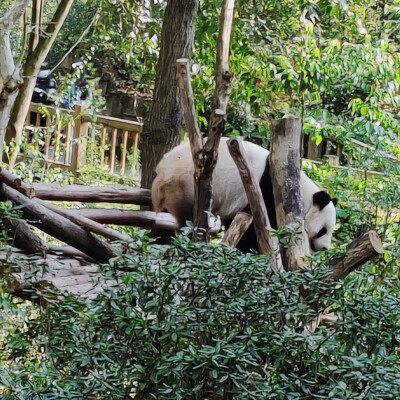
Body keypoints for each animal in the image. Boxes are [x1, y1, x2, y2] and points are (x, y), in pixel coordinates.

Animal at [152, 137, 336, 250]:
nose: (324, 249)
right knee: (188, 221)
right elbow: (255, 230)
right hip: (183, 187)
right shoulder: (265, 191)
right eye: (323, 231)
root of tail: (160, 170)